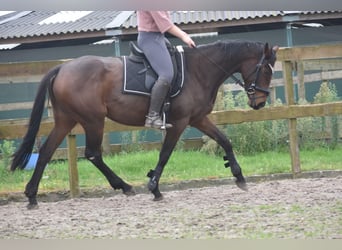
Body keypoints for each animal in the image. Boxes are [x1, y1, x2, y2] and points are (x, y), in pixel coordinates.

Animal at [10, 40, 278, 208]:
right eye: (266, 69)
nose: (259, 103)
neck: (199, 70)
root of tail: (63, 67)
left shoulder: (198, 118)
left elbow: (224, 139)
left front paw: (239, 177)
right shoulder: (179, 123)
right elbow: (165, 154)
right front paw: (154, 187)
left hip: (67, 119)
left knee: (46, 152)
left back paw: (31, 196)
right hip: (93, 120)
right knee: (93, 153)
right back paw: (124, 186)